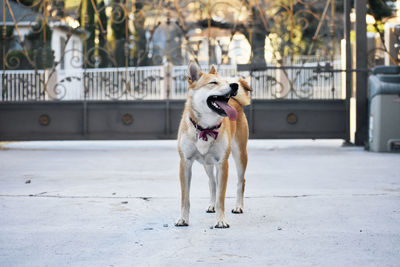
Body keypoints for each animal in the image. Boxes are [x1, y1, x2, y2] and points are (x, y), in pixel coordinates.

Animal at [177, 62, 252, 228]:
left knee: (241, 181)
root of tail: (236, 102)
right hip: (207, 164)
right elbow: (185, 198)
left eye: (224, 81)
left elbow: (221, 198)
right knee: (212, 183)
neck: (205, 128)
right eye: (213, 82)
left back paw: (238, 206)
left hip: (240, 155)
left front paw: (221, 220)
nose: (234, 85)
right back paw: (211, 205)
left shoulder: (222, 164)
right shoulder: (185, 163)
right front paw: (183, 219)